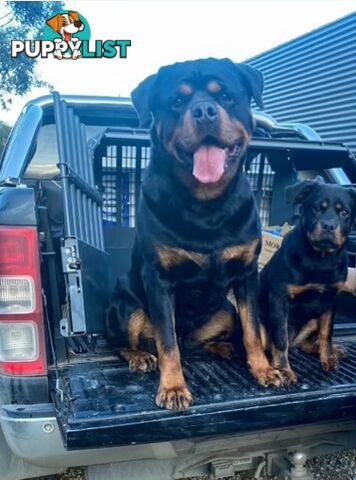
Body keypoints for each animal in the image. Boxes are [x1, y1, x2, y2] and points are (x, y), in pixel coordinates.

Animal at [107, 58, 282, 410]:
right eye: (177, 101)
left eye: (225, 96)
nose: (204, 111)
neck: (206, 205)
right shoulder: (159, 281)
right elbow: (167, 342)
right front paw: (173, 387)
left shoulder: (246, 275)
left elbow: (253, 330)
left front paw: (262, 369)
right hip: (126, 307)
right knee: (126, 342)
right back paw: (139, 356)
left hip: (225, 310)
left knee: (209, 338)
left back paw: (224, 348)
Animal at [258, 176, 356, 382]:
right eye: (316, 208)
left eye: (344, 212)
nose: (329, 226)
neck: (320, 259)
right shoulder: (279, 299)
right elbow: (280, 338)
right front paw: (283, 369)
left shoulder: (330, 300)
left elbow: (327, 333)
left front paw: (328, 358)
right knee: (269, 346)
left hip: (312, 320)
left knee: (305, 343)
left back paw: (334, 351)